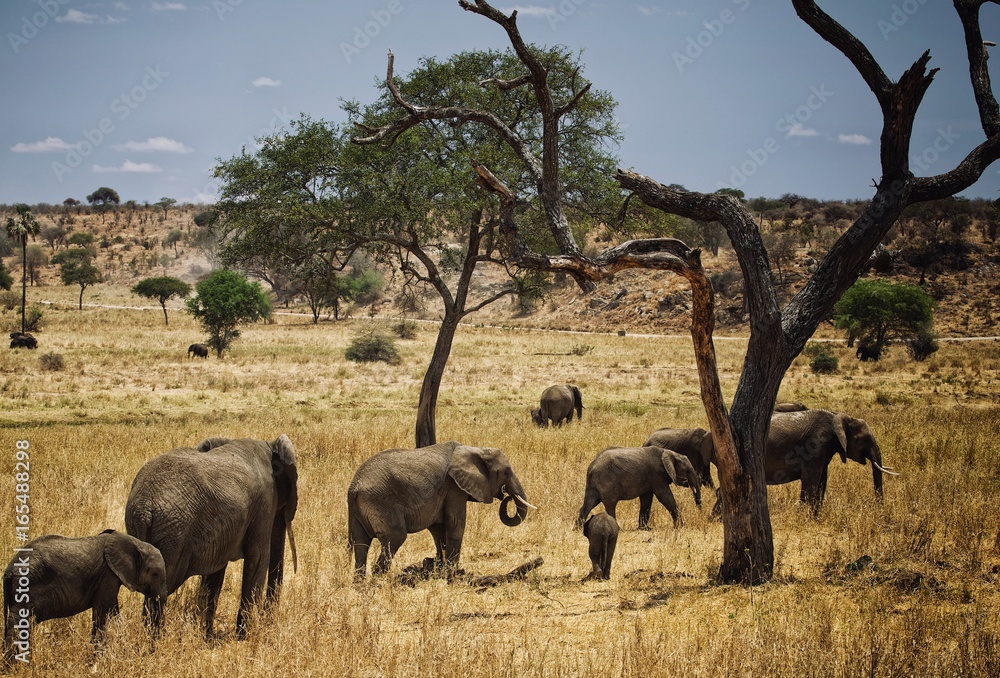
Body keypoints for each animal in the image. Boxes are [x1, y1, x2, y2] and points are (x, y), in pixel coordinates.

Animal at [3, 530, 166, 658]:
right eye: (155, 574)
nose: (150, 651)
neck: (135, 543)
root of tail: (9, 570)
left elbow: (112, 612)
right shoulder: (107, 575)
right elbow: (103, 613)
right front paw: (99, 658)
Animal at [125, 434, 298, 639]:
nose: (267, 622)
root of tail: (144, 509)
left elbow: (215, 572)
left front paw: (206, 636)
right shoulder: (265, 502)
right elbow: (257, 560)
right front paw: (243, 638)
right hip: (173, 534)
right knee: (160, 590)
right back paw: (156, 641)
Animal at [347, 441, 534, 579]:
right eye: (506, 472)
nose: (506, 495)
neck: (476, 449)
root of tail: (354, 487)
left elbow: (438, 530)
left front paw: (440, 569)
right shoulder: (454, 488)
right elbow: (456, 524)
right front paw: (453, 574)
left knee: (360, 545)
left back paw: (360, 585)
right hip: (381, 503)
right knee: (394, 538)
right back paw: (379, 583)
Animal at [702, 409, 897, 515]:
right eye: (863, 439)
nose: (879, 510)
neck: (838, 416)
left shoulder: (823, 451)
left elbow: (822, 482)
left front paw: (816, 517)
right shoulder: (816, 445)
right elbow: (811, 481)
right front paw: (806, 517)